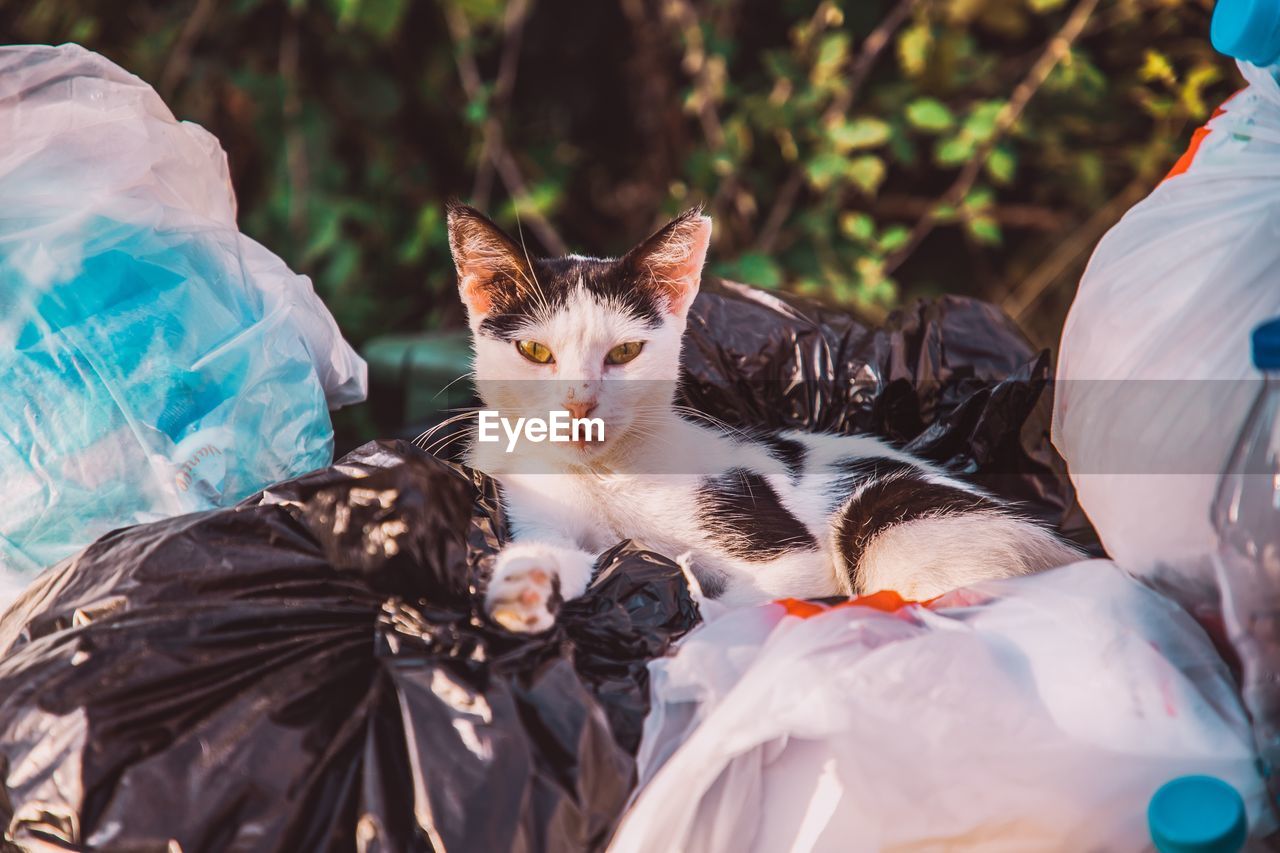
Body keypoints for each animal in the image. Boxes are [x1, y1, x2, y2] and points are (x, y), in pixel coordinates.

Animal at [442, 195, 1080, 627]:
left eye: (623, 353)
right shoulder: (531, 502)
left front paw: (692, 606)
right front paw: (522, 589)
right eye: (534, 351)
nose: (580, 405)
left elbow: (761, 591)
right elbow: (552, 550)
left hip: (886, 511)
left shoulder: (781, 546)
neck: (601, 475)